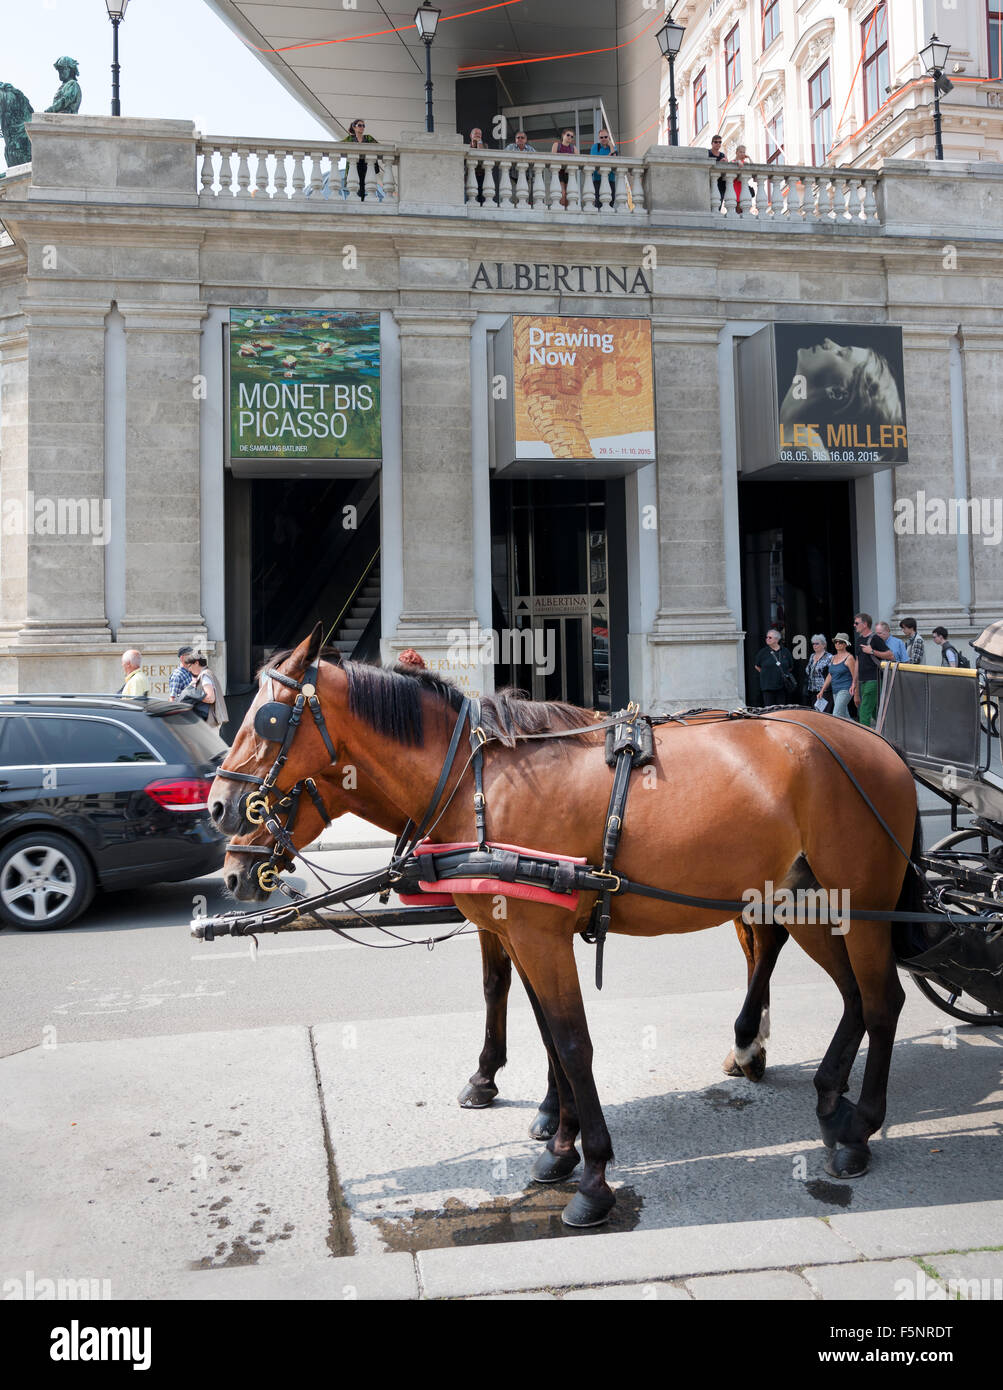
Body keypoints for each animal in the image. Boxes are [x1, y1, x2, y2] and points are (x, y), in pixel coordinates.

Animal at [211, 631, 916, 1228]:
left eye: (267, 721)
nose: (218, 811)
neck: (472, 781)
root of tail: (879, 745)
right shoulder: (519, 932)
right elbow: (544, 1029)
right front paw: (558, 1142)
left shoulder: (538, 934)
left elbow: (572, 1044)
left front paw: (593, 1174)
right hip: (809, 902)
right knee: (849, 994)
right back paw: (825, 1098)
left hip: (859, 902)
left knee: (881, 999)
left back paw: (858, 1127)